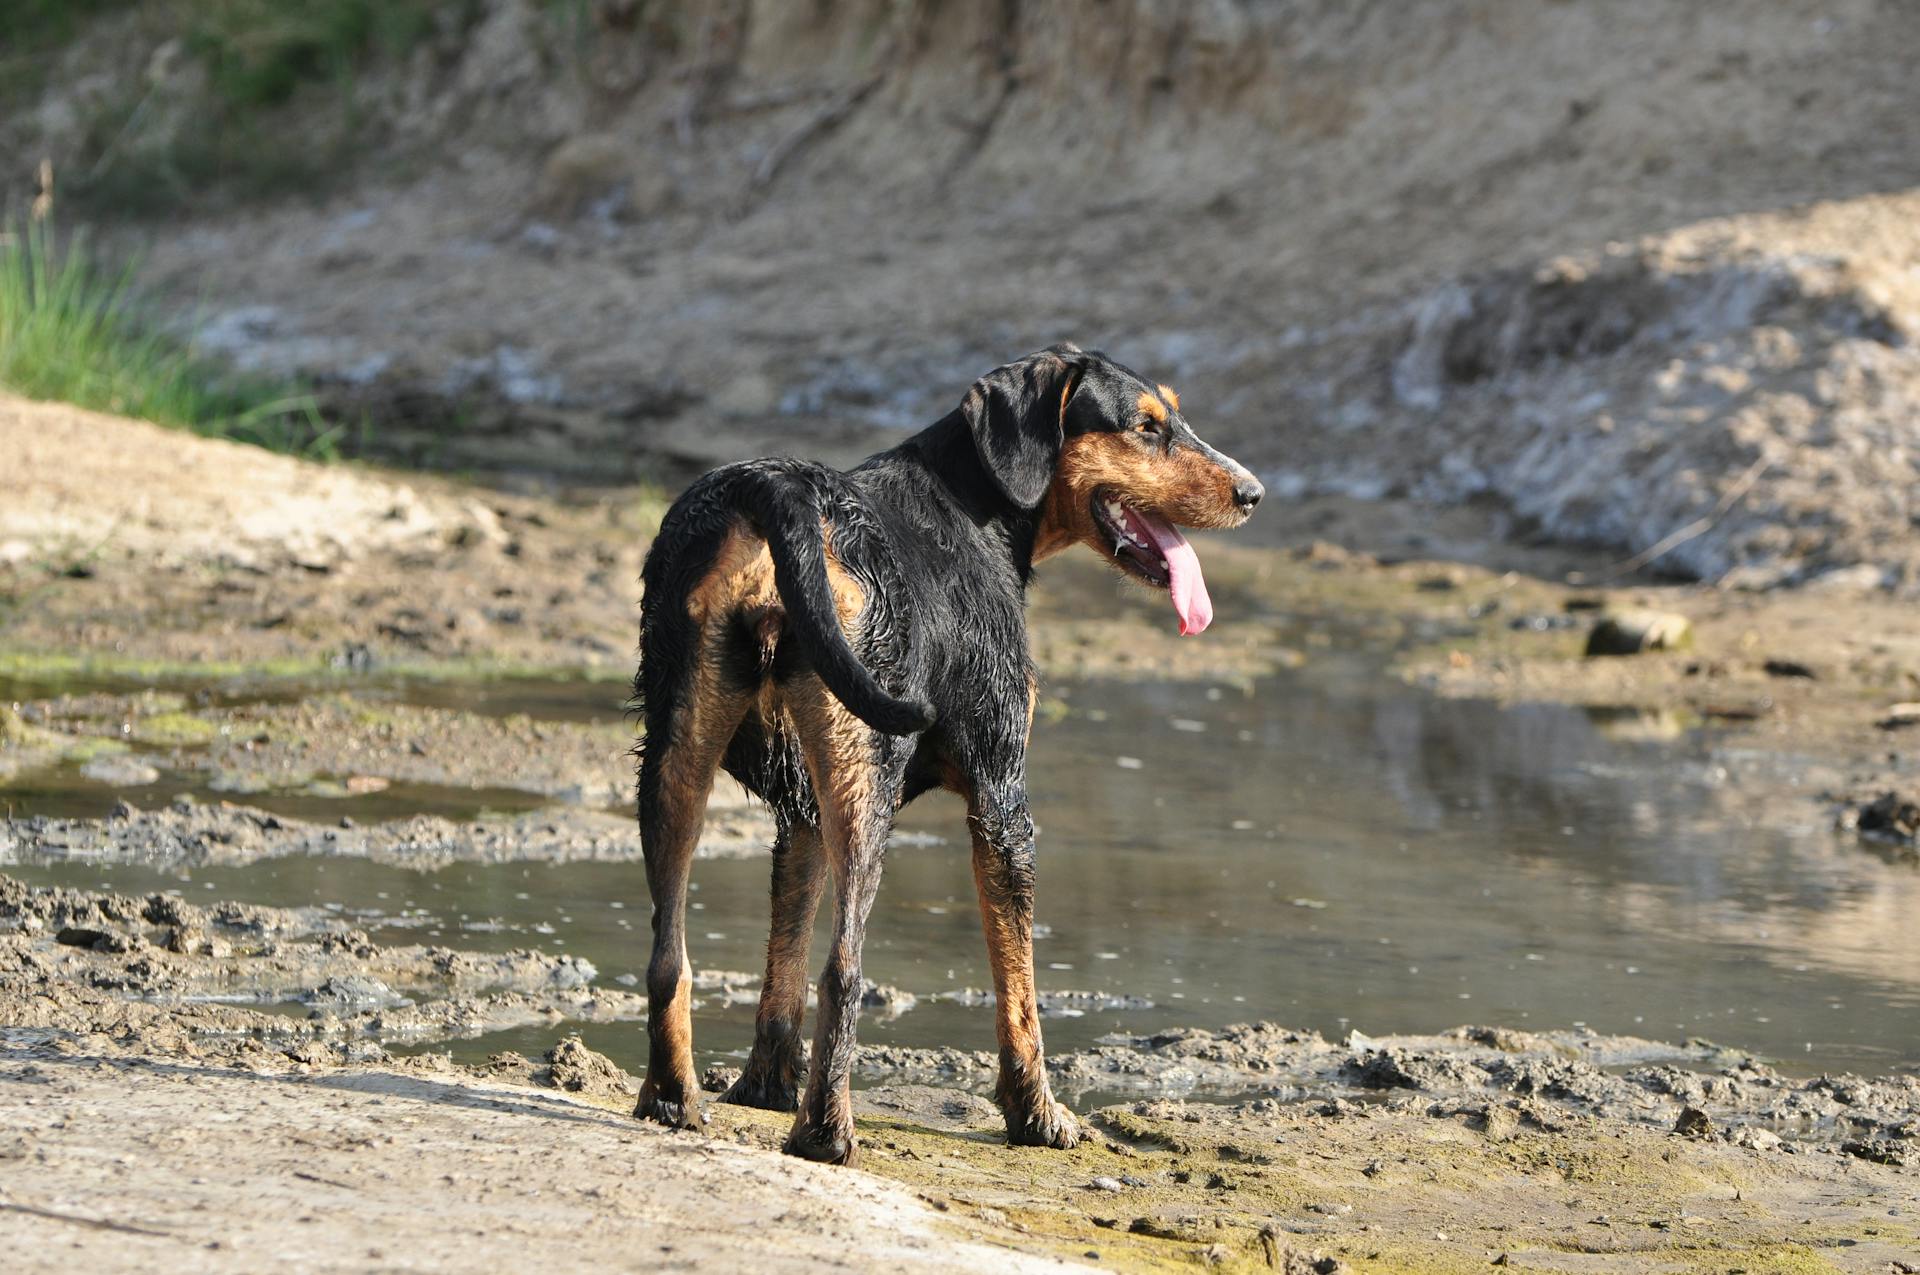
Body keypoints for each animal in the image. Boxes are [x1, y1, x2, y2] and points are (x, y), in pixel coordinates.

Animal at [629, 343, 1259, 1159]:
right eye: (1146, 427)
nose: (1254, 492)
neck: (976, 502)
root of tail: (773, 491)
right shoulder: (1003, 797)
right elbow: (1018, 990)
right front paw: (1037, 1114)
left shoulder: (800, 811)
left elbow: (783, 958)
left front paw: (765, 1088)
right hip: (865, 780)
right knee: (845, 968)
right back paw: (826, 1132)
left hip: (676, 756)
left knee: (669, 953)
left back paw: (673, 1099)